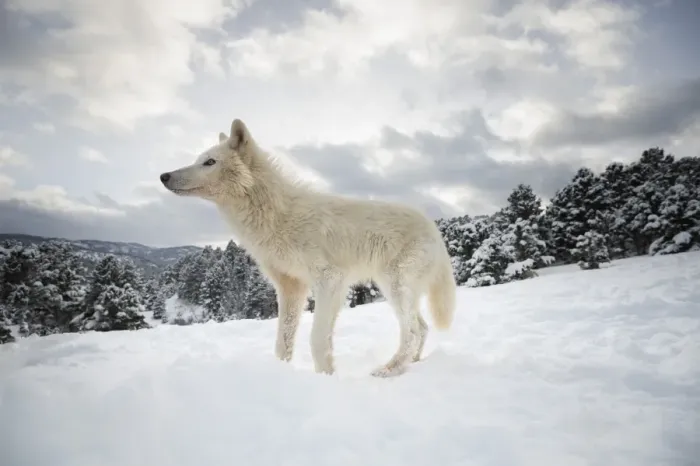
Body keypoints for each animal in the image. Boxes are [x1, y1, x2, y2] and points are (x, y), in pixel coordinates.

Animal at [160, 118, 457, 377]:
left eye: (209, 162)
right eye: (198, 160)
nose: (163, 175)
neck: (277, 216)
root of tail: (433, 228)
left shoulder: (330, 281)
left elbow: (317, 339)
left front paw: (326, 377)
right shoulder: (291, 288)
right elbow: (283, 341)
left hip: (394, 285)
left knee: (413, 332)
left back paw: (387, 371)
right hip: (395, 289)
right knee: (423, 328)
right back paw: (411, 365)